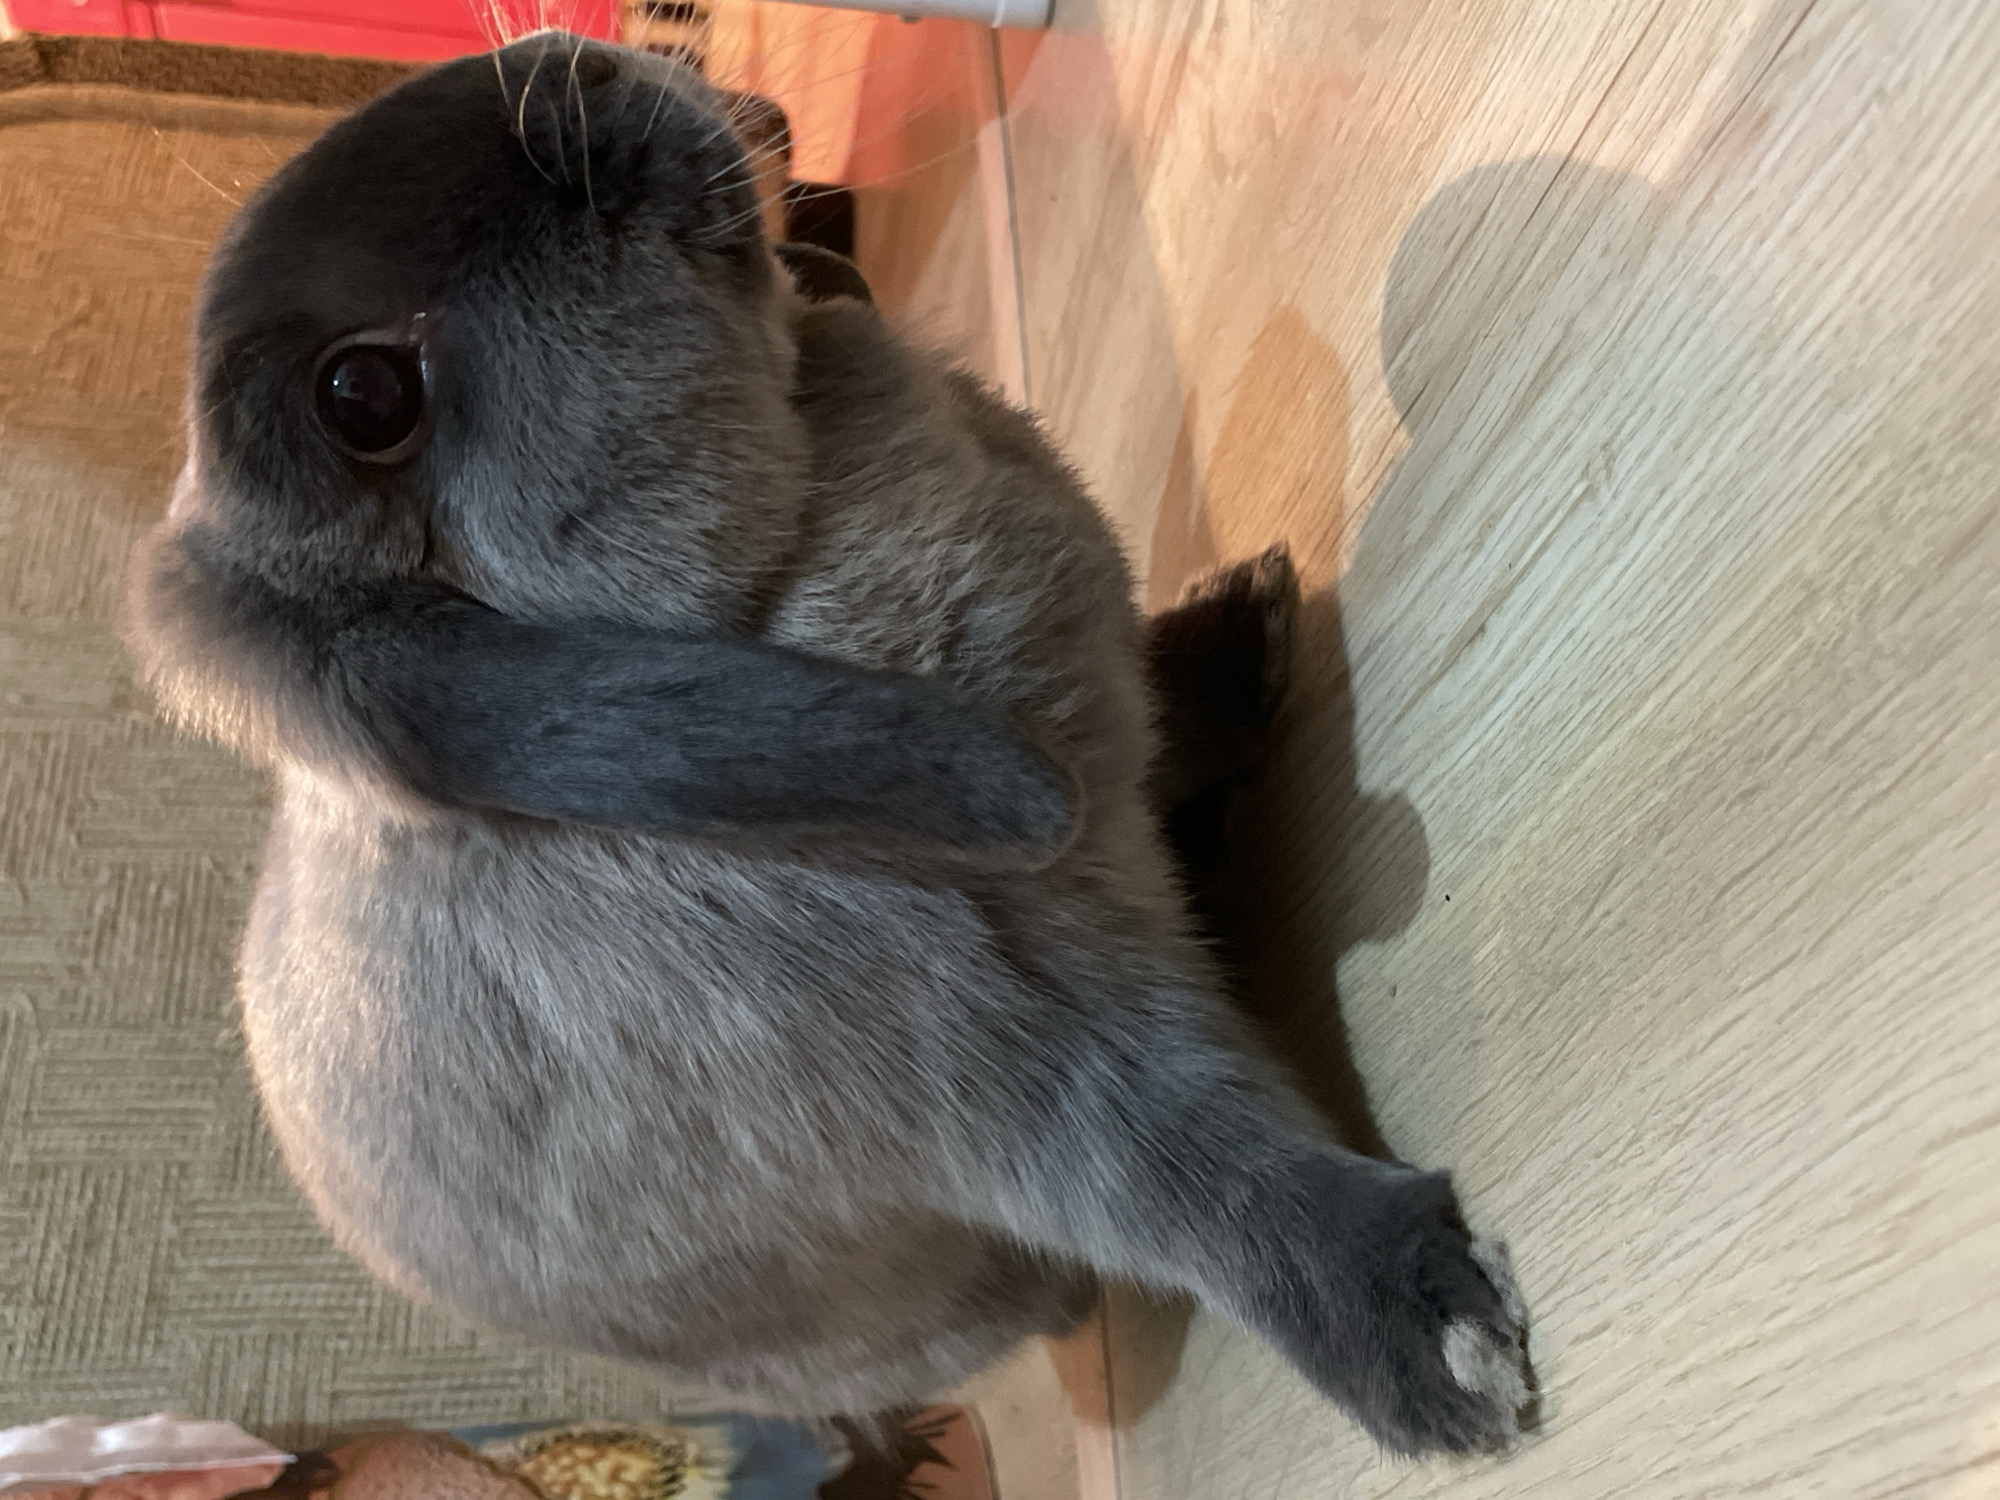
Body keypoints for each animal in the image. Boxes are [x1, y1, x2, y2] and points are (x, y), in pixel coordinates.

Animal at [124, 33, 1533, 1456]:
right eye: (363, 397)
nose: (570, 67)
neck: (782, 556)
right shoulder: (1016, 1070)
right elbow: (1205, 1186)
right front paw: (1446, 1353)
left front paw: (1240, 640)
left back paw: (1241, 636)